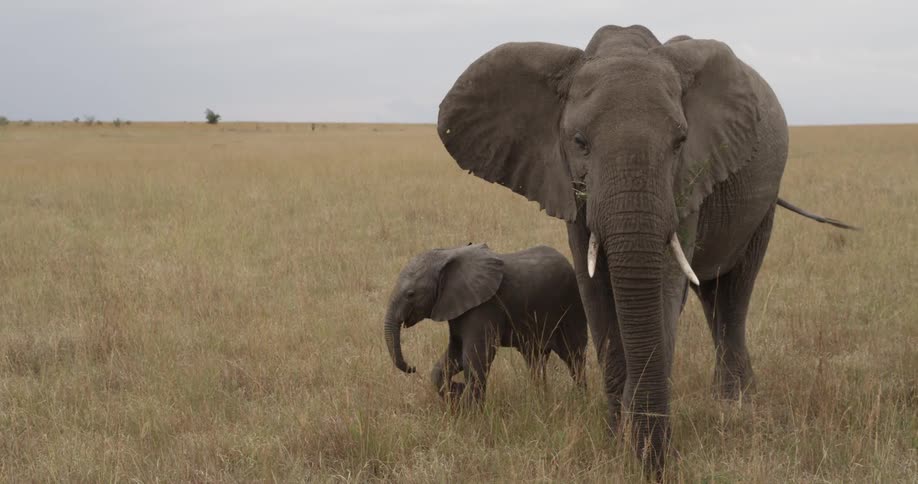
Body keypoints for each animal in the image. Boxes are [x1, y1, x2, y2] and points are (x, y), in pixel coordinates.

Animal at [383, 243, 588, 404]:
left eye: (410, 294)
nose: (412, 368)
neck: (448, 253)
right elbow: (454, 355)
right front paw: (456, 395)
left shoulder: (484, 307)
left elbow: (474, 359)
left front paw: (472, 415)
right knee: (535, 359)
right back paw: (540, 399)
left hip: (572, 307)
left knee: (574, 356)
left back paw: (580, 400)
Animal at [436, 25, 857, 475]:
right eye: (579, 142)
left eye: (680, 141)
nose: (656, 466)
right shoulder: (569, 187)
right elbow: (596, 293)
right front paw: (614, 440)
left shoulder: (687, 181)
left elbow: (664, 289)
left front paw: (638, 444)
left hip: (762, 202)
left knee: (733, 292)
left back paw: (734, 404)